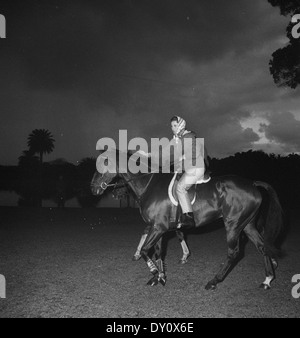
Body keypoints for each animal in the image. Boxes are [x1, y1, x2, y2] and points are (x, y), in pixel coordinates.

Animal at [91, 151, 284, 290]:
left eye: (104, 164)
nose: (93, 188)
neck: (148, 184)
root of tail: (252, 184)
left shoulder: (158, 227)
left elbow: (147, 250)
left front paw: (155, 271)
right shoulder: (157, 227)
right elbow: (158, 252)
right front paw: (159, 276)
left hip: (233, 225)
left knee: (234, 253)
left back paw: (214, 281)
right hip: (247, 225)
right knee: (261, 246)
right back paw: (267, 279)